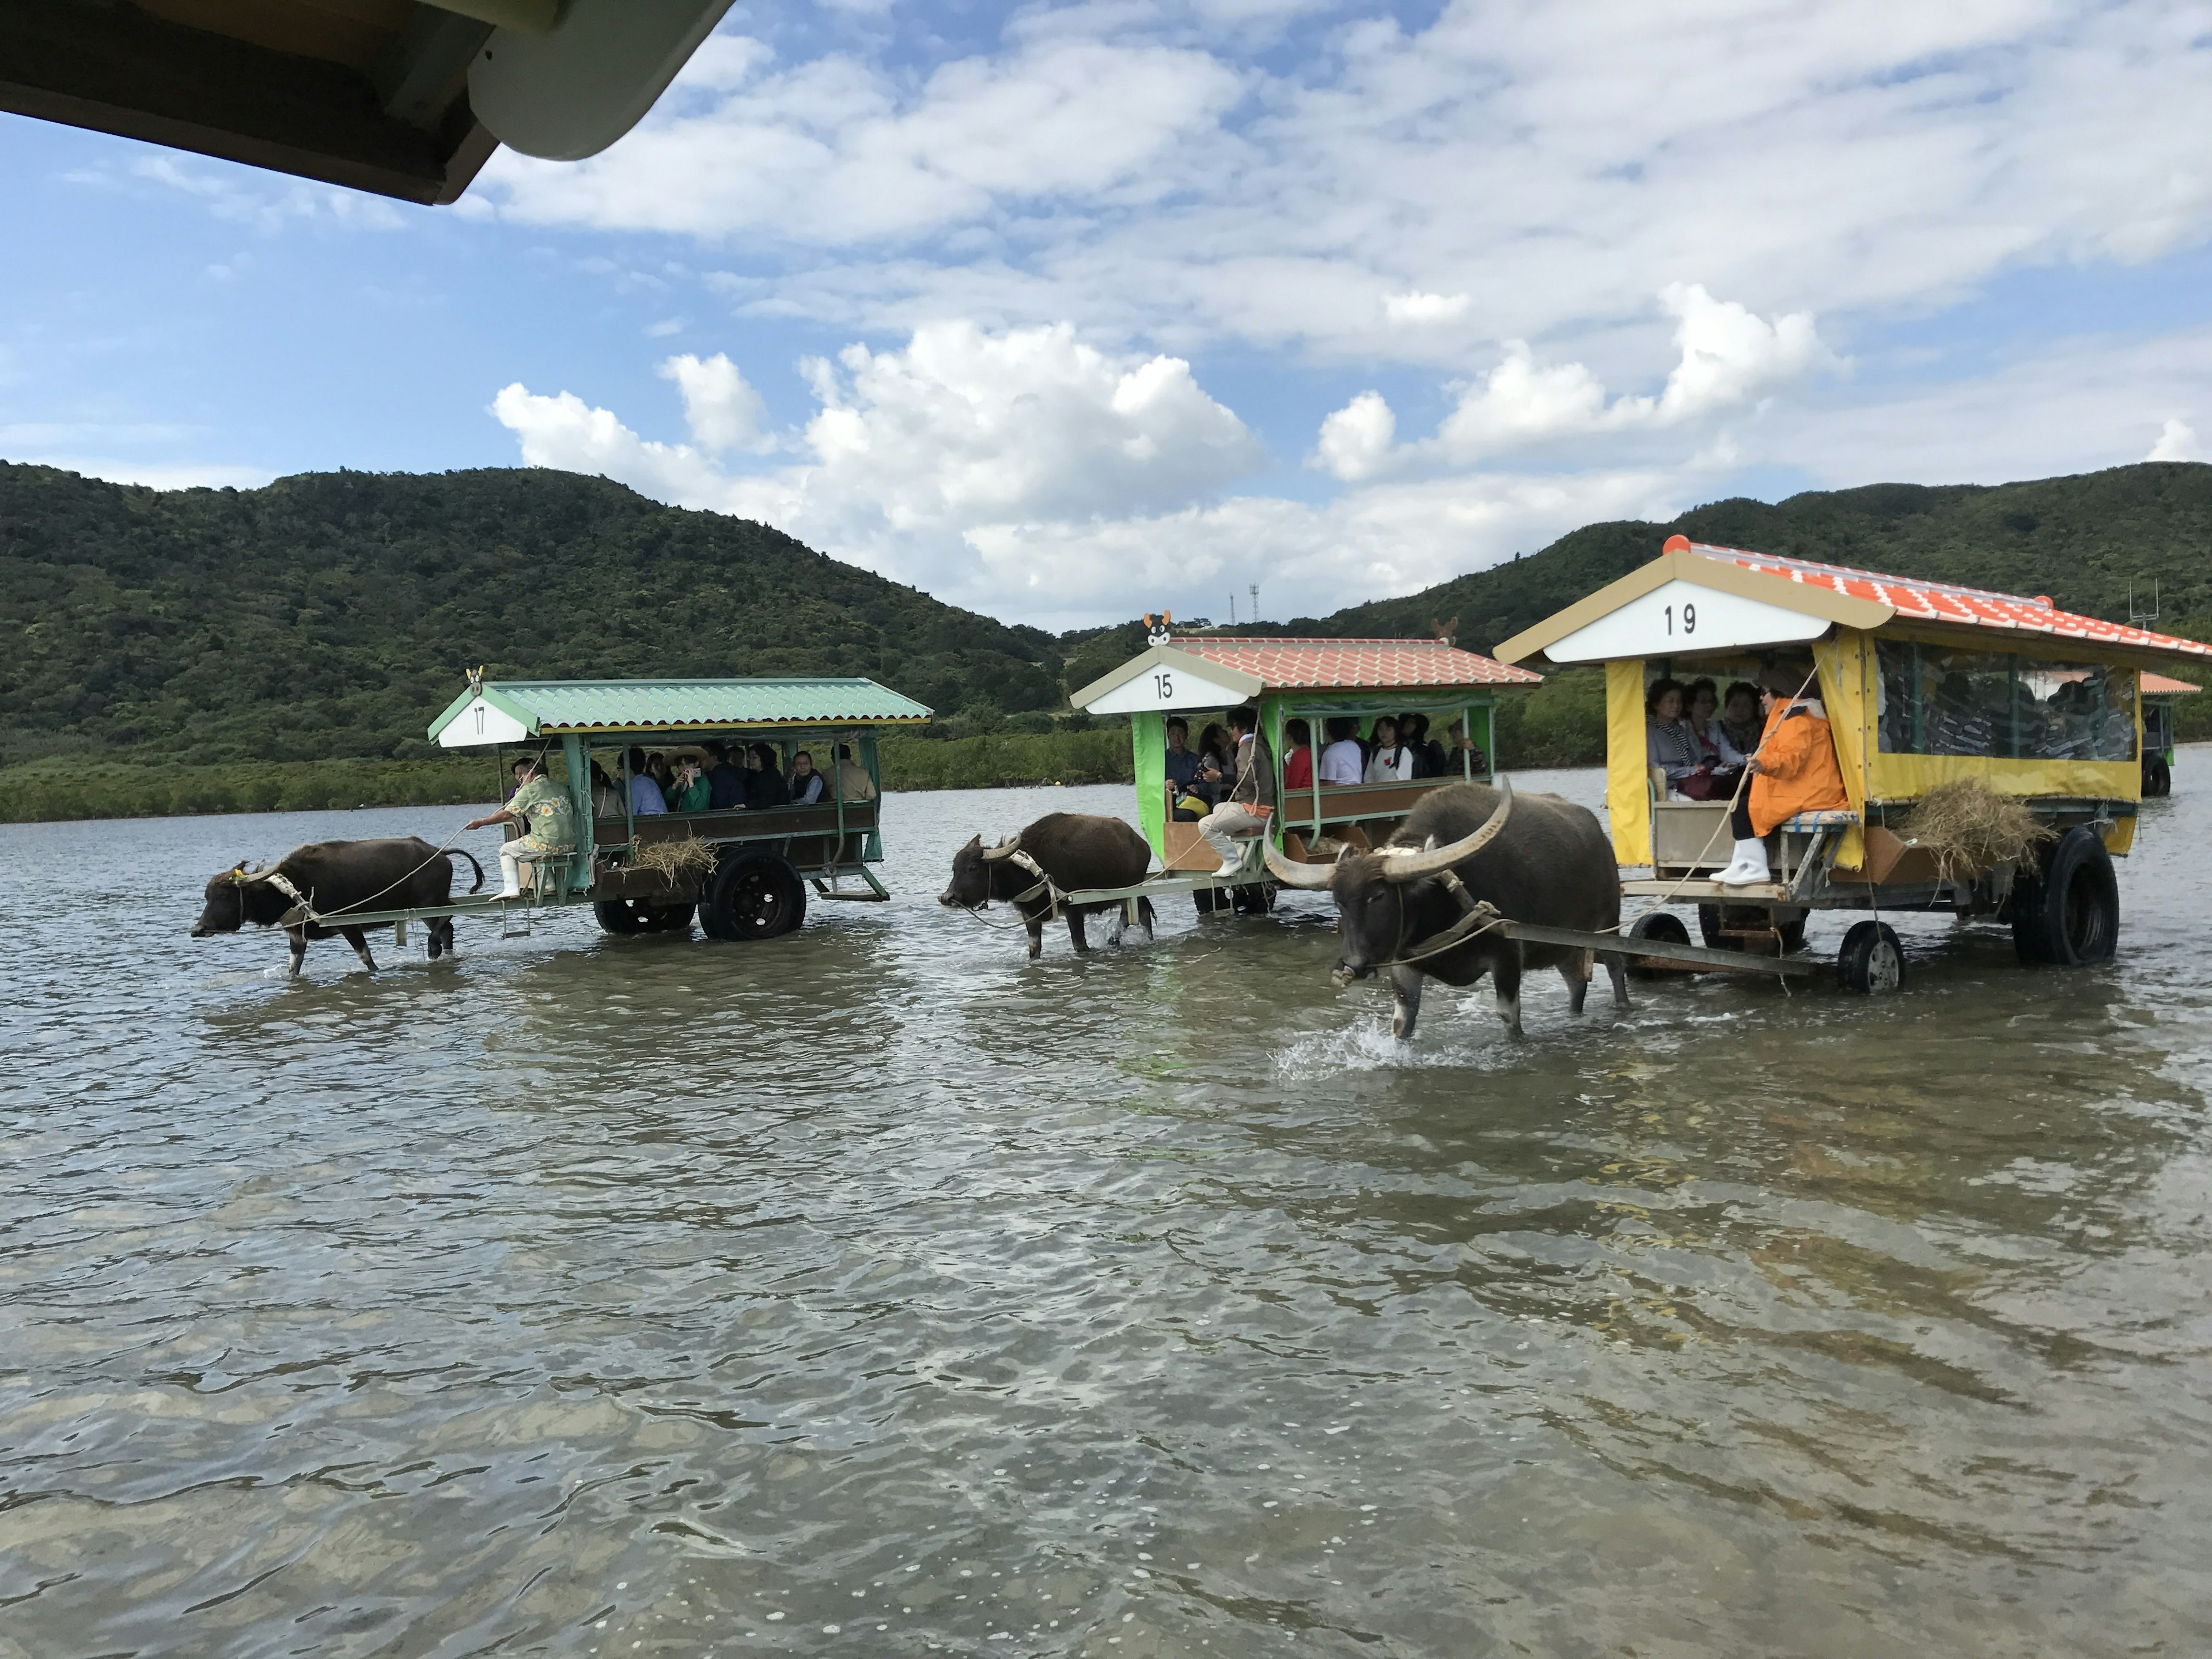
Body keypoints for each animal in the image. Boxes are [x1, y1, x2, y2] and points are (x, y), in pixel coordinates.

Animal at [191, 844, 484, 973]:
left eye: (224, 896)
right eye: (207, 896)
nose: (198, 929)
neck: (293, 889)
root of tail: (440, 854)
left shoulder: (348, 925)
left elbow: (367, 959)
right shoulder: (297, 936)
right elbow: (293, 968)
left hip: (429, 901)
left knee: (447, 918)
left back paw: (433, 948)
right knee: (447, 927)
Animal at [942, 814, 1159, 960]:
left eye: (972, 868)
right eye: (954, 868)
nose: (947, 898)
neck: (1032, 869)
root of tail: (1142, 844)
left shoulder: (1074, 909)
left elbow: (1080, 945)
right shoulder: (1030, 916)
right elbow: (1034, 949)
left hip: (1133, 890)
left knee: (1136, 916)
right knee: (1136, 915)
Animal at [1265, 783, 1628, 1039]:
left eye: (1378, 896)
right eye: (1338, 901)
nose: (1351, 965)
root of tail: (1601, 839)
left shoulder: (1508, 956)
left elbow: (1509, 1017)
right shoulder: (1405, 964)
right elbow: (1402, 1023)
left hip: (1608, 924)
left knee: (1616, 968)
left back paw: (1623, 1007)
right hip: (1567, 946)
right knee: (1577, 984)